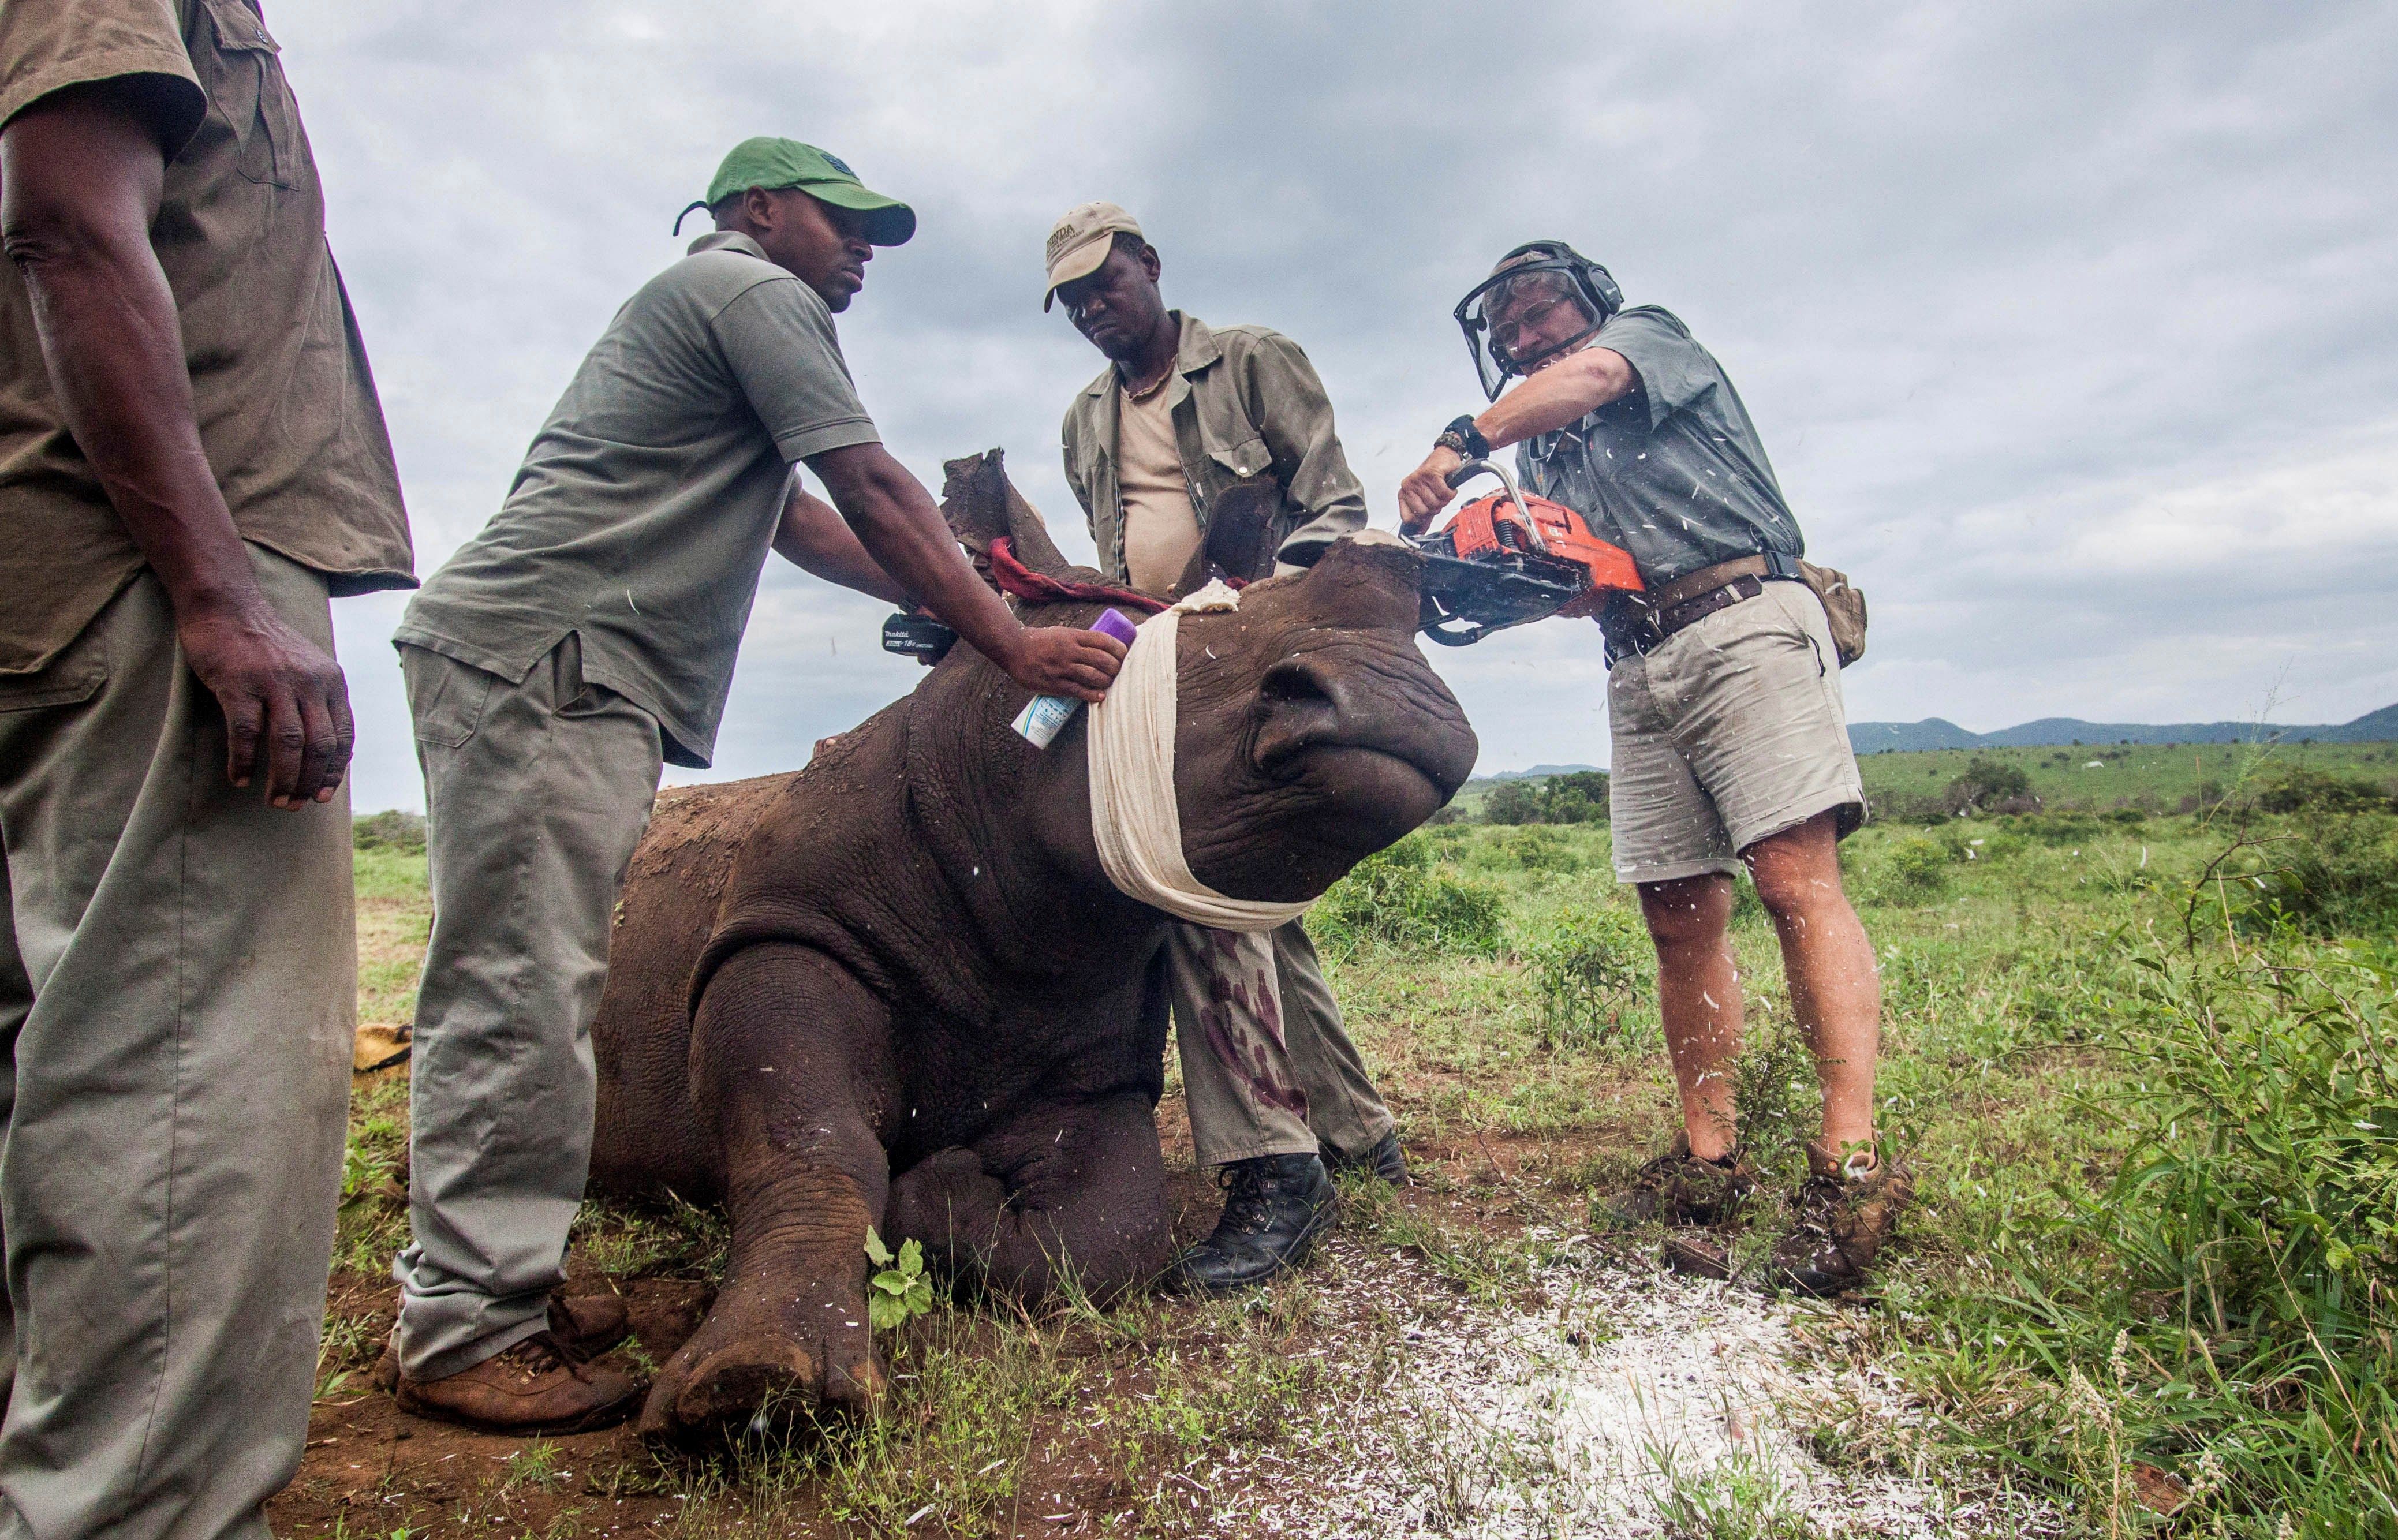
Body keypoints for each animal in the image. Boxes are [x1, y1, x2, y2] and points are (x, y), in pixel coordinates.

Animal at [587, 451, 1467, 1429]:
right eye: (1179, 655)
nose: (1396, 695)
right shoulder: (785, 930)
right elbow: (807, 1135)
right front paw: (757, 1389)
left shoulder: (1090, 1046)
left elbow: (1110, 1231)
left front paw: (931, 1193)